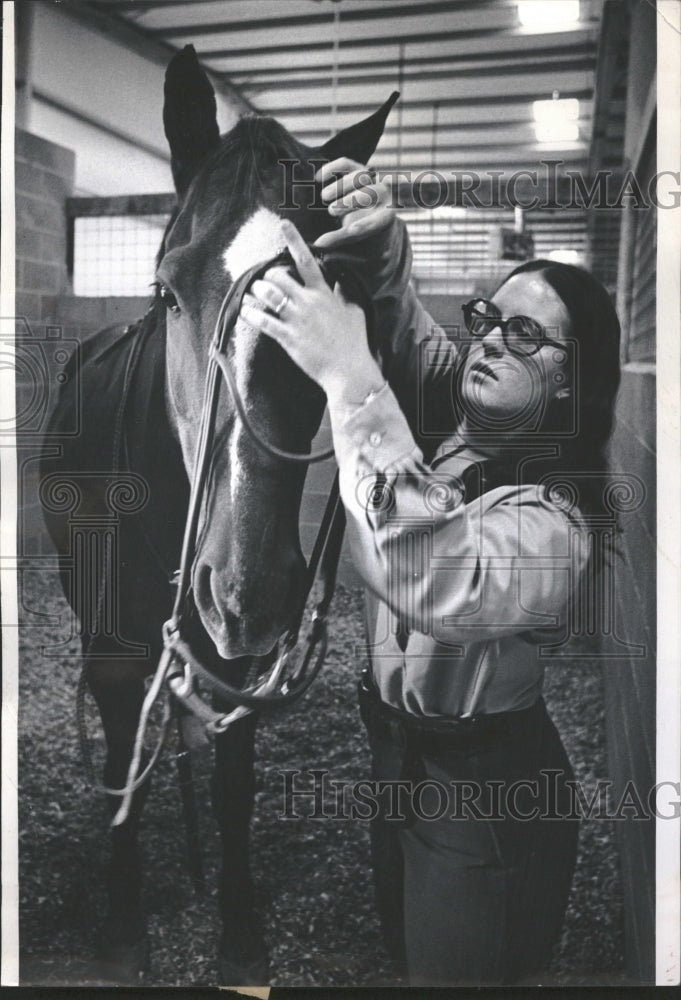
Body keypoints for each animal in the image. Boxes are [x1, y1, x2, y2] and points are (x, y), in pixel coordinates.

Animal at [39, 45, 440, 984]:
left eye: (343, 300)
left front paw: (239, 932)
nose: (245, 592)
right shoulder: (114, 649)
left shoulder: (238, 657)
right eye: (167, 290)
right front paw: (123, 925)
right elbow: (125, 753)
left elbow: (230, 780)